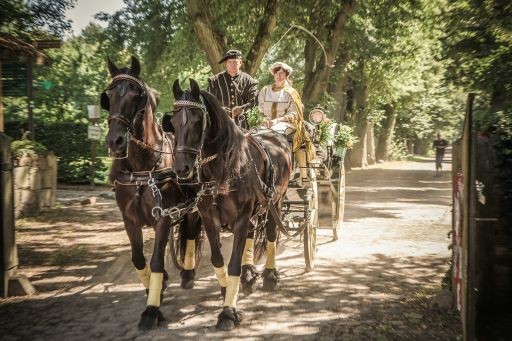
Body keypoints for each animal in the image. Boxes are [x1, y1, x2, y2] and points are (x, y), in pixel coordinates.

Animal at [101, 57, 201, 328]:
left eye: (136, 94)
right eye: (109, 94)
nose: (115, 141)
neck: (141, 168)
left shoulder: (163, 217)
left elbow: (156, 259)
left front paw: (151, 310)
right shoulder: (129, 219)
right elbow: (139, 259)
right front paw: (154, 289)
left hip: (194, 206)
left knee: (190, 231)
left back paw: (188, 273)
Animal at [165, 78, 292, 328]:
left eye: (197, 120)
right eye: (173, 122)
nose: (182, 168)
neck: (226, 167)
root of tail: (275, 134)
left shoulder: (241, 217)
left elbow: (233, 263)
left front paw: (228, 312)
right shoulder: (208, 217)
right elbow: (217, 259)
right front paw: (227, 292)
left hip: (276, 202)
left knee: (271, 234)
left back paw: (270, 276)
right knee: (253, 234)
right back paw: (249, 275)